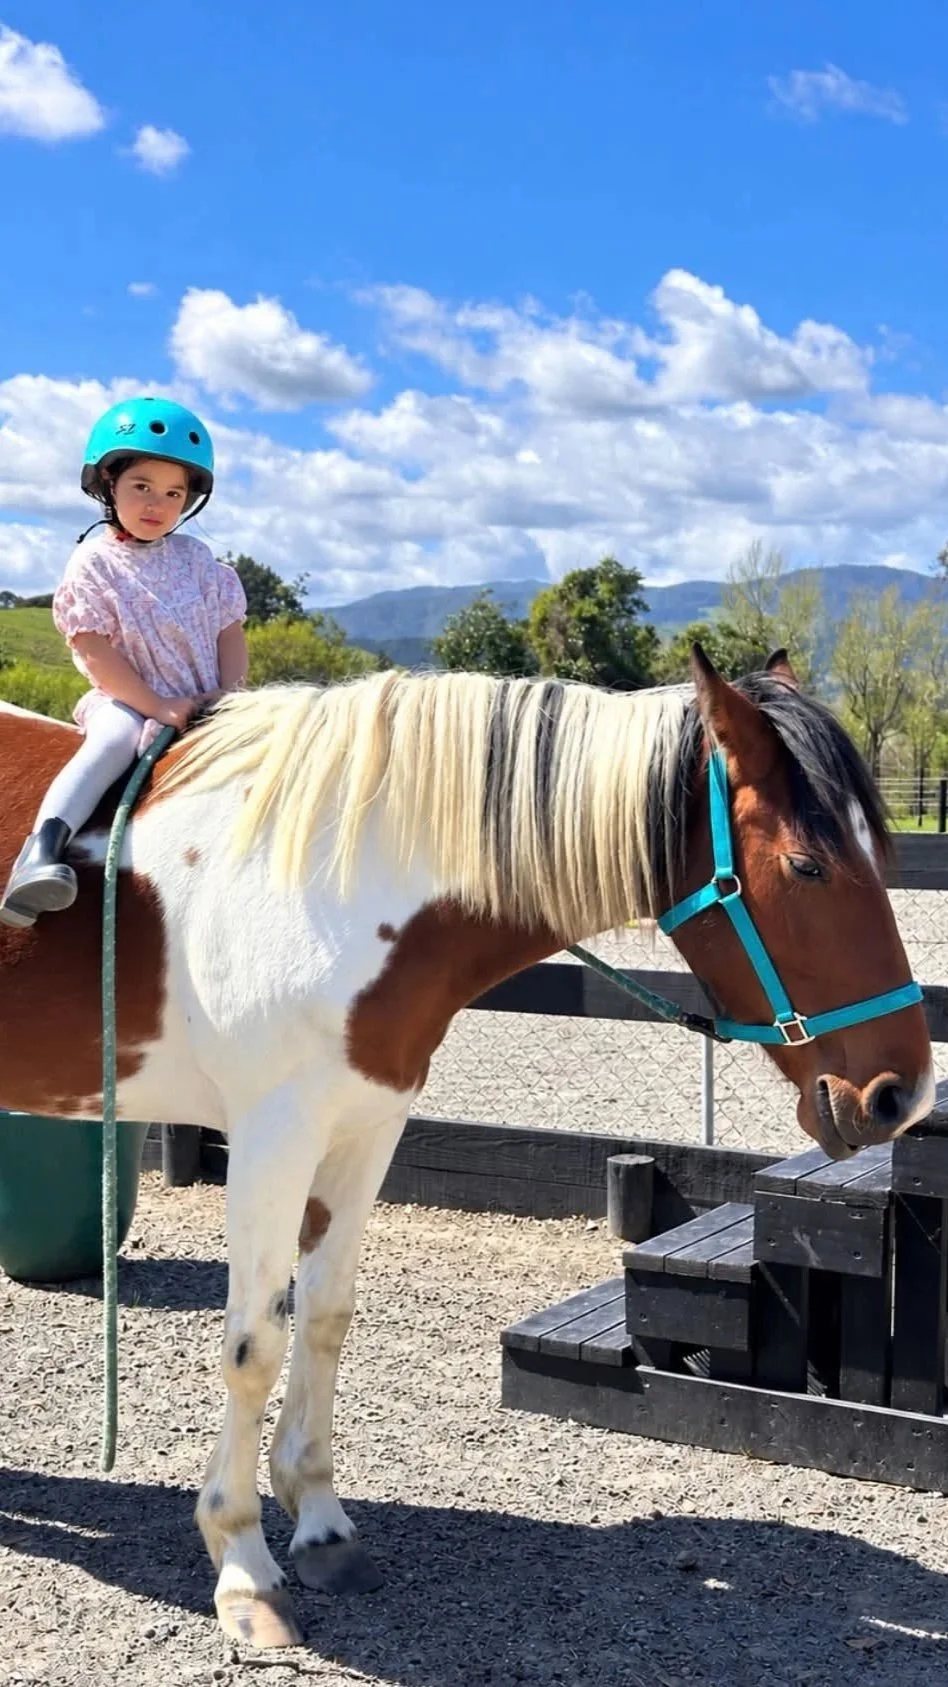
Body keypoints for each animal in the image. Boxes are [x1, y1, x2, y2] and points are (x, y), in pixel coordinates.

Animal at [0, 646, 933, 1648]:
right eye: (805, 864)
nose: (901, 1094)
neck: (335, 884)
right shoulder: (270, 1138)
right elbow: (255, 1345)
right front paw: (244, 1567)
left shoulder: (365, 1126)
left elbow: (324, 1317)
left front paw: (321, 1526)